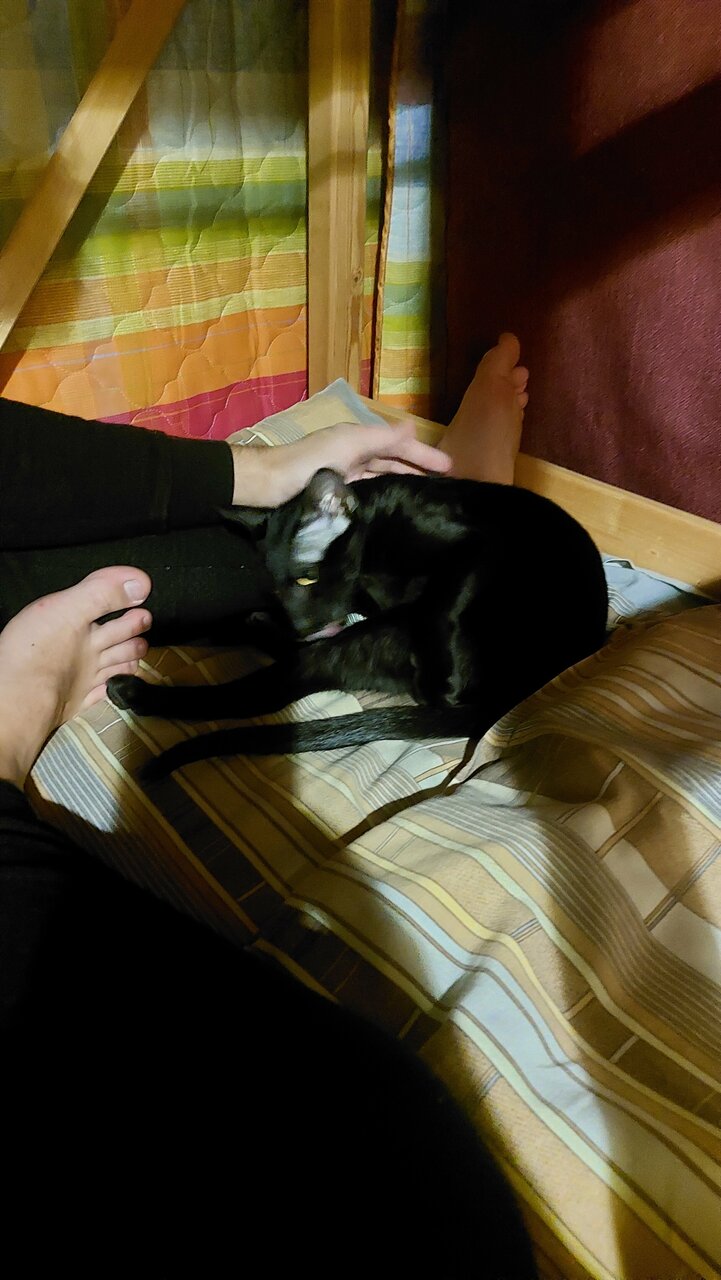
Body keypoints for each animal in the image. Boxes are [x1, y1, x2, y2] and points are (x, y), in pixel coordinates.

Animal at [108, 468, 609, 776]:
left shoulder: (474, 547)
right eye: (274, 586)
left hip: (366, 640)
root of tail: (511, 698)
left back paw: (135, 688)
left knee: (261, 687)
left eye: (306, 577)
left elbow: (441, 603)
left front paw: (442, 678)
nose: (296, 621)